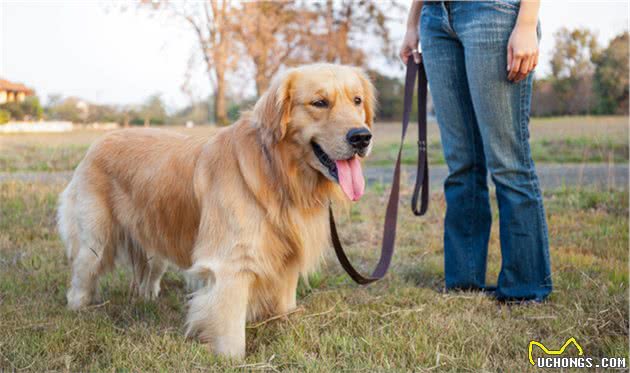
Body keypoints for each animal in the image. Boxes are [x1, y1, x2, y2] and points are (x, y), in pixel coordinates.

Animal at [58, 64, 376, 358]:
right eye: (319, 102)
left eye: (357, 101)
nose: (362, 137)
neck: (278, 172)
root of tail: (99, 141)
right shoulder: (230, 264)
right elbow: (231, 333)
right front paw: (230, 359)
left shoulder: (286, 256)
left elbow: (285, 304)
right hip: (95, 242)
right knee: (81, 279)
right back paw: (78, 309)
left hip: (154, 239)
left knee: (148, 275)